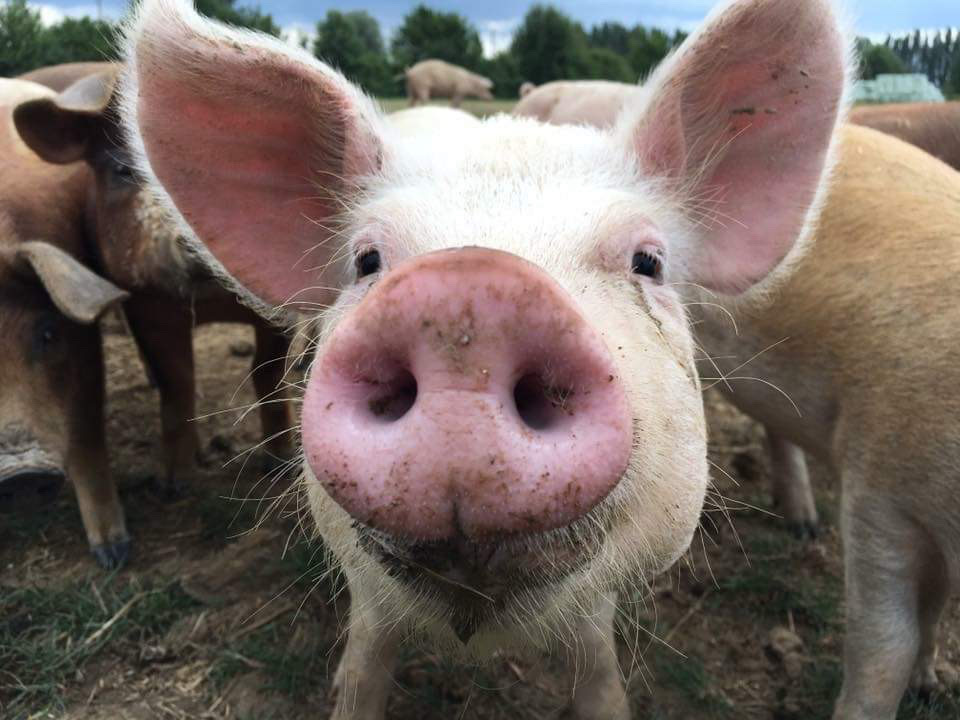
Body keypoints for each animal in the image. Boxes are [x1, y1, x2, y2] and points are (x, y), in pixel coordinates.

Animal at [13, 63, 295, 505]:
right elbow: (177, 380)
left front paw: (280, 463)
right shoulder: (146, 304)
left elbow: (268, 372)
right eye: (123, 169)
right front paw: (178, 484)